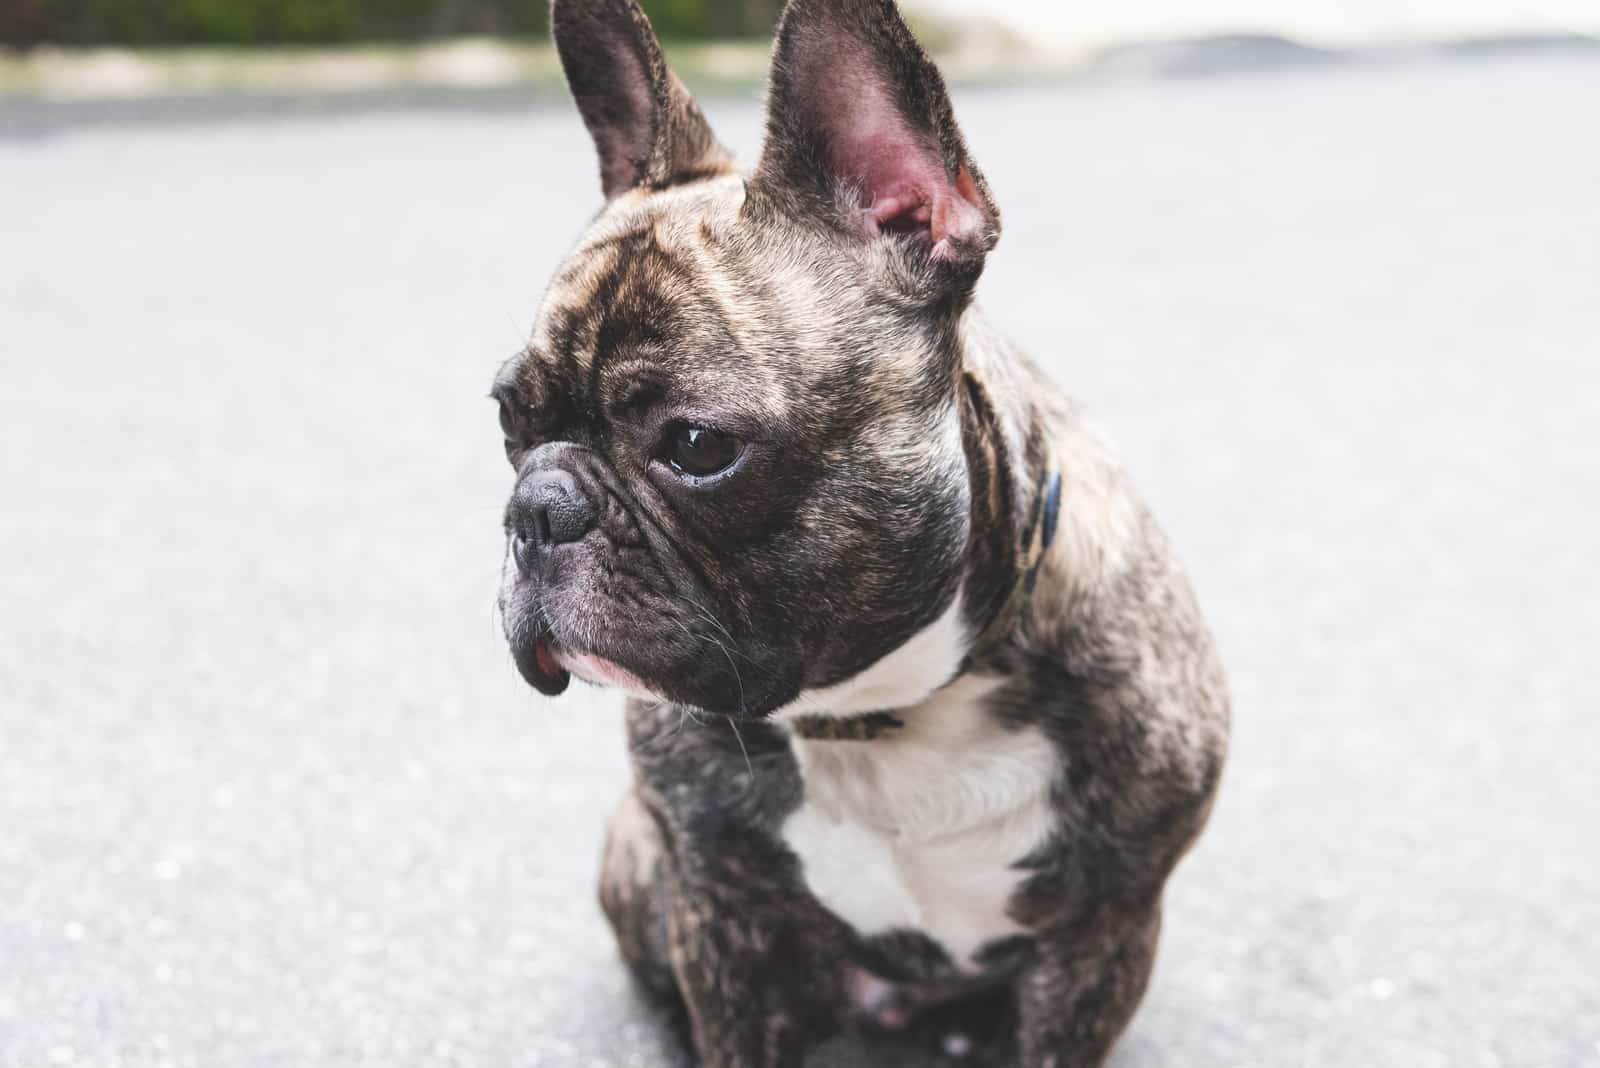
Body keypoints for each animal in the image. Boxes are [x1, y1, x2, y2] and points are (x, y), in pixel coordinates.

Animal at [492, 4, 1228, 1061]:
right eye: (508, 422)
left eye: (697, 446)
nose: (537, 509)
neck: (881, 707)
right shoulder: (724, 917)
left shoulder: (1103, 935)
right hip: (637, 855)